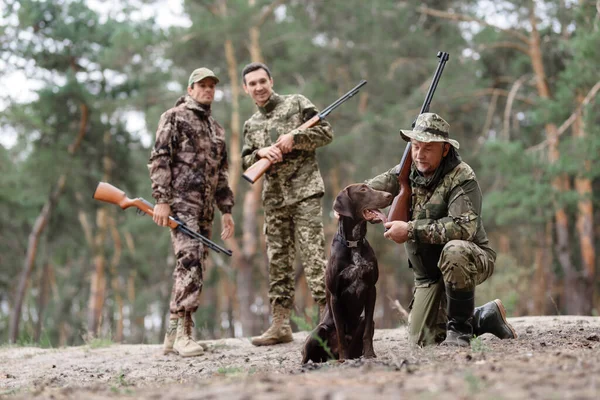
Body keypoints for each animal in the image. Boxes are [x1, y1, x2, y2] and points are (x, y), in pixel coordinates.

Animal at [300, 184, 394, 362]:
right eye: (363, 189)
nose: (389, 195)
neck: (354, 243)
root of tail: (329, 356)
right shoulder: (335, 296)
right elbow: (341, 335)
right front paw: (343, 358)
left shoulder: (371, 290)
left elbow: (367, 332)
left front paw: (370, 354)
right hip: (318, 331)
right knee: (306, 355)